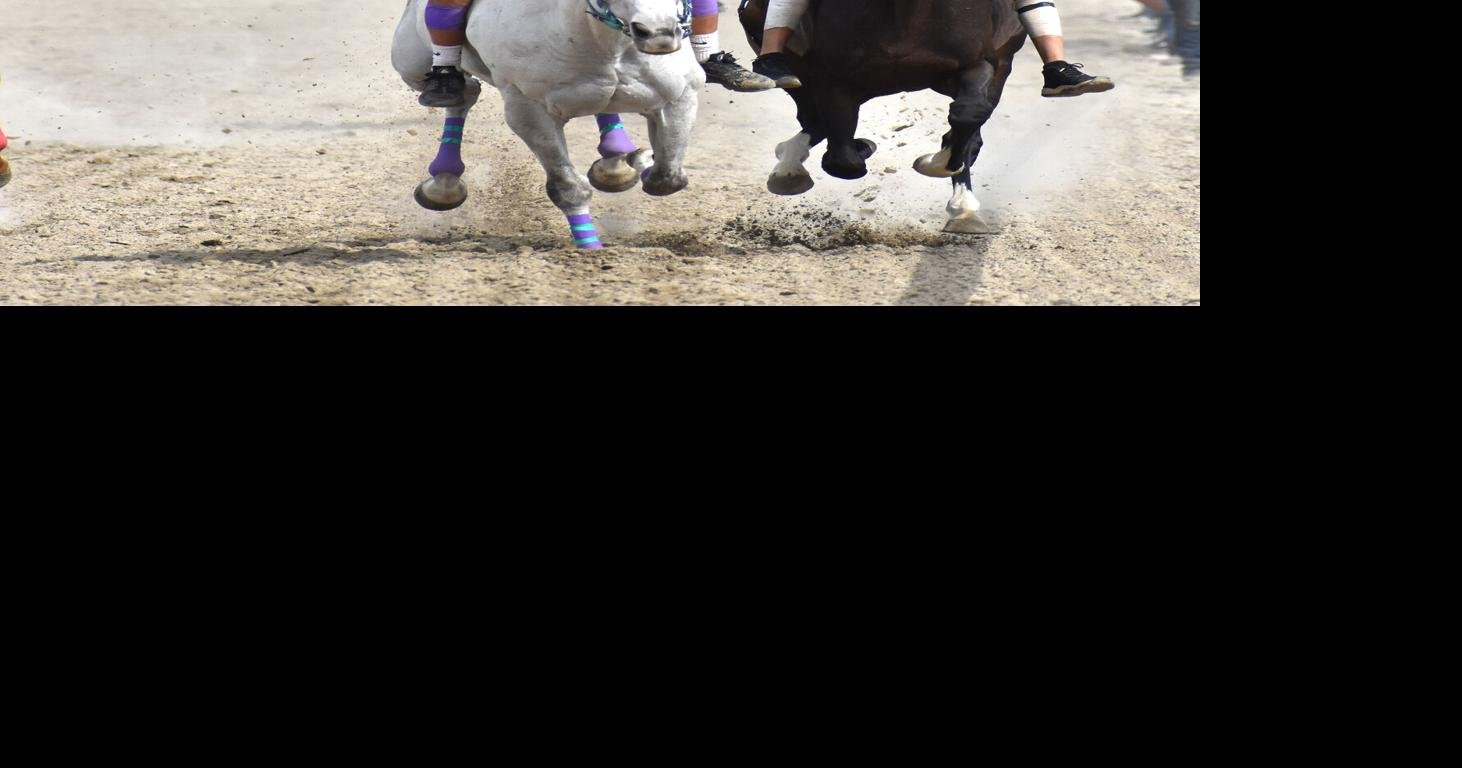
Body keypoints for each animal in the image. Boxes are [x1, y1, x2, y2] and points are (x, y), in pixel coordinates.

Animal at [391, 0, 704, 248]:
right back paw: (444, 182)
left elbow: (667, 178)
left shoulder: (680, 96)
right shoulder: (528, 110)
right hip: (410, 63)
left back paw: (615, 161)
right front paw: (591, 249)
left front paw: (640, 160)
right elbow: (567, 188)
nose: (658, 33)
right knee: (462, 95)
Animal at [736, 0, 1023, 234]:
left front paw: (939, 163)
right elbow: (843, 161)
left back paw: (964, 206)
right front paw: (858, 149)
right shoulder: (831, 78)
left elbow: (969, 113)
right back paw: (792, 165)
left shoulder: (980, 61)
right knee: (811, 118)